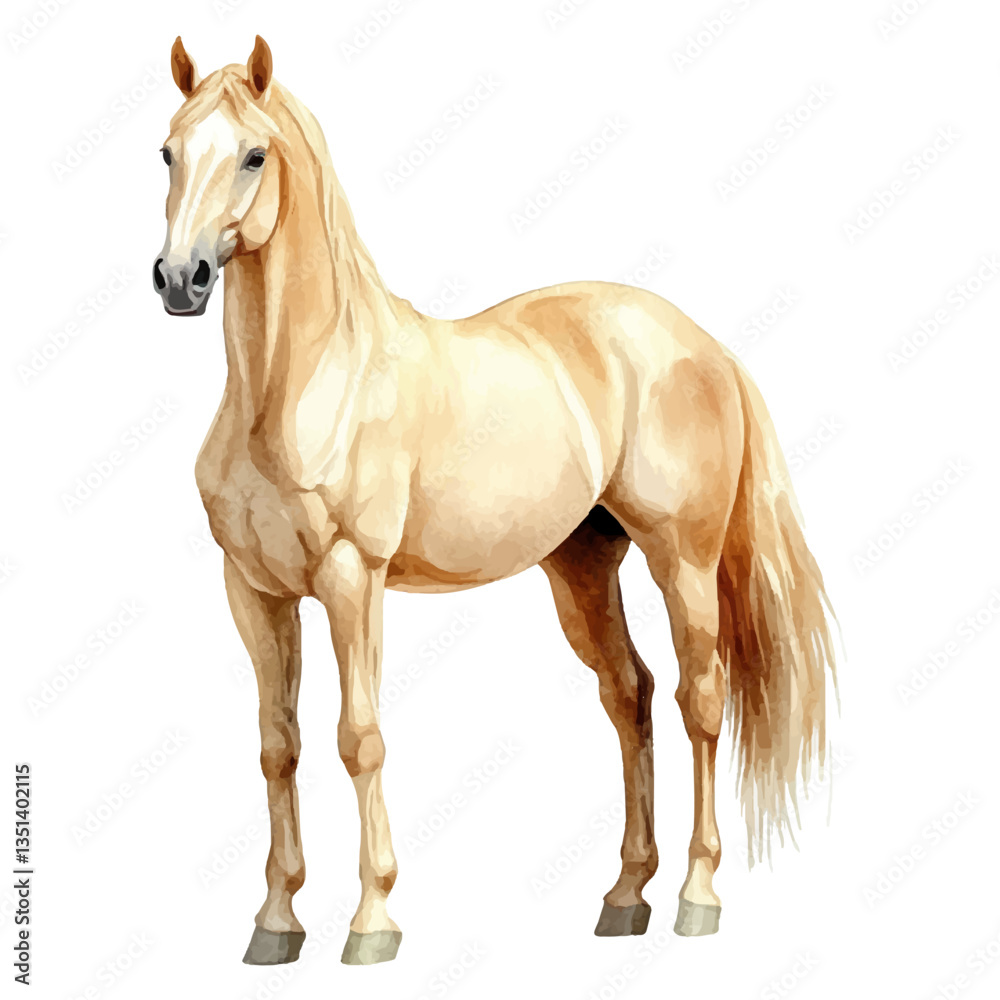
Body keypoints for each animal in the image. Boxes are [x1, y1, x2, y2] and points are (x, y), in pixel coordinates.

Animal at [152, 35, 837, 967]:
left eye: (255, 155)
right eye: (168, 152)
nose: (178, 280)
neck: (303, 385)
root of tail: (708, 347)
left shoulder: (351, 579)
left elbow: (358, 740)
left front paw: (372, 921)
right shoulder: (254, 590)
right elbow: (276, 745)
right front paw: (277, 920)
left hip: (684, 563)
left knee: (701, 699)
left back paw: (697, 895)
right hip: (582, 569)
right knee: (630, 694)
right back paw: (625, 896)